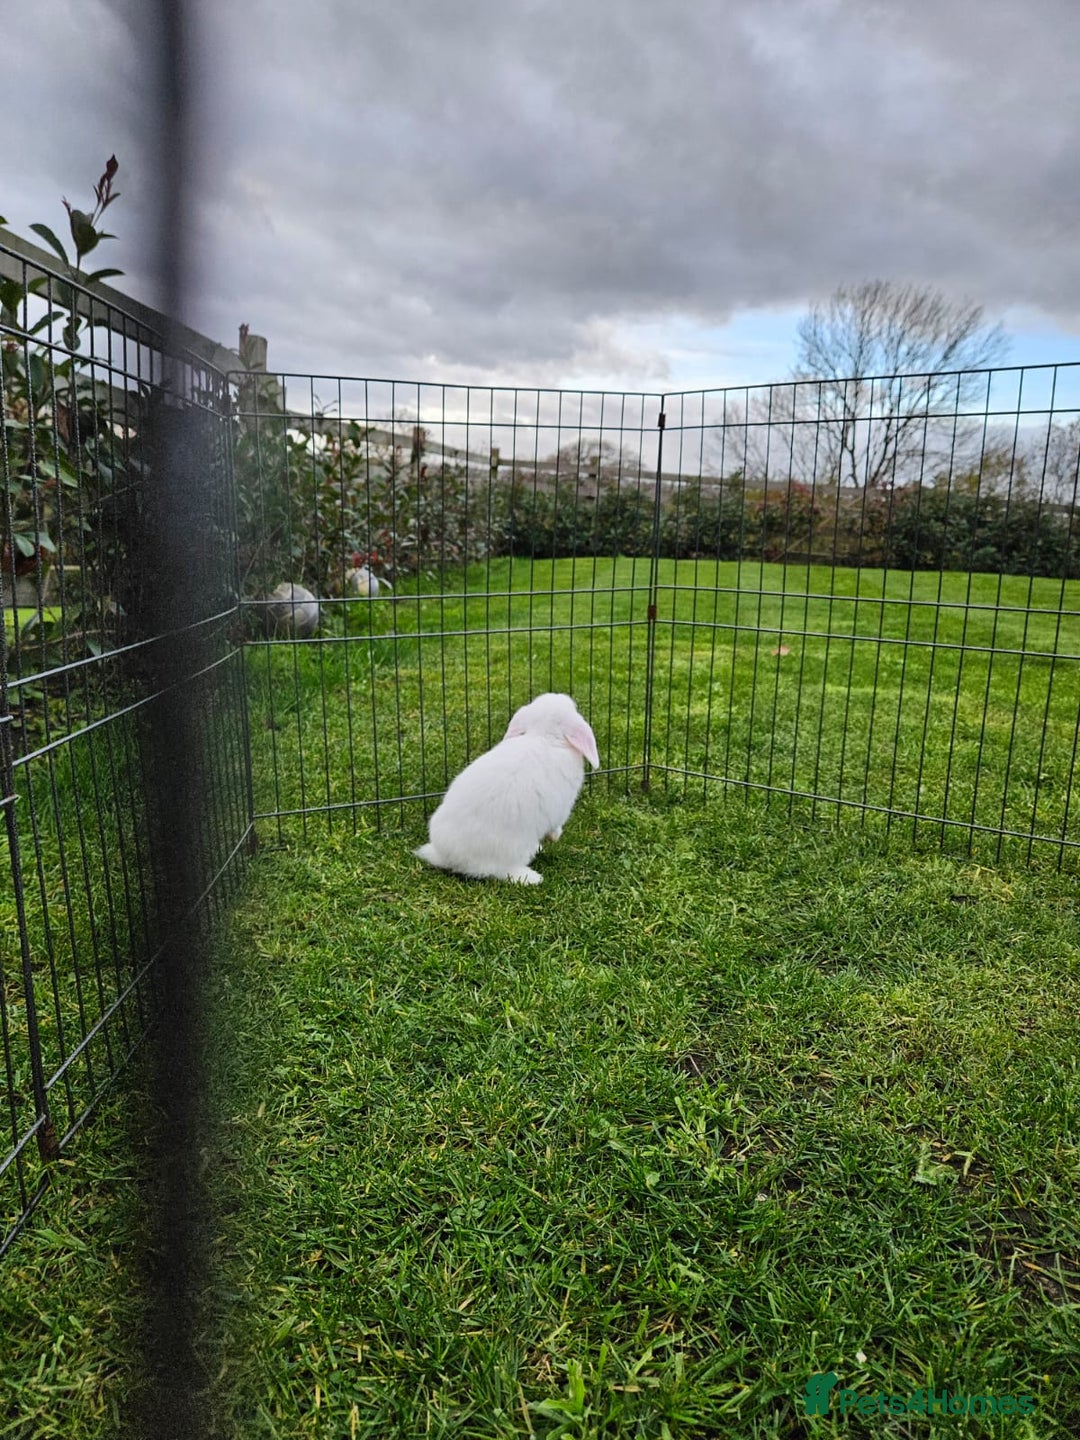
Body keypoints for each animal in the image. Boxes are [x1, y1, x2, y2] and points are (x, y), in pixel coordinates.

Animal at [415, 692, 600, 884]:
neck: (542, 737)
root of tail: (451, 858)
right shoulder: (560, 810)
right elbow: (556, 825)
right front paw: (555, 837)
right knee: (503, 872)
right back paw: (532, 877)